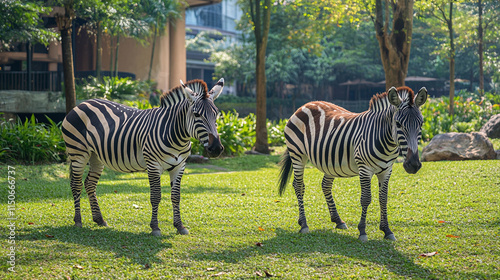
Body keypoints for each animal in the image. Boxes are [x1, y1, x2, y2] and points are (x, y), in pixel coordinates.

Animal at [61, 77, 225, 235]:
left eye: (216, 114)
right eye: (197, 115)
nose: (217, 148)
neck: (176, 135)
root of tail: (82, 104)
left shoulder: (179, 166)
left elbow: (176, 196)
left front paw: (179, 226)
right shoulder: (153, 165)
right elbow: (156, 196)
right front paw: (155, 228)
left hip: (96, 156)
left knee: (89, 184)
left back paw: (99, 219)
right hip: (78, 153)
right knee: (76, 184)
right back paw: (78, 221)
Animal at [278, 86, 426, 242]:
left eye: (421, 124)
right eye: (398, 124)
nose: (413, 165)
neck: (385, 141)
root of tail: (305, 105)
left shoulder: (386, 170)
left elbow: (383, 199)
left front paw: (387, 230)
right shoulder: (364, 169)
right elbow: (366, 199)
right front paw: (362, 231)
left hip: (329, 161)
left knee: (325, 185)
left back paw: (337, 220)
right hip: (297, 154)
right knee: (299, 186)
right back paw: (304, 224)